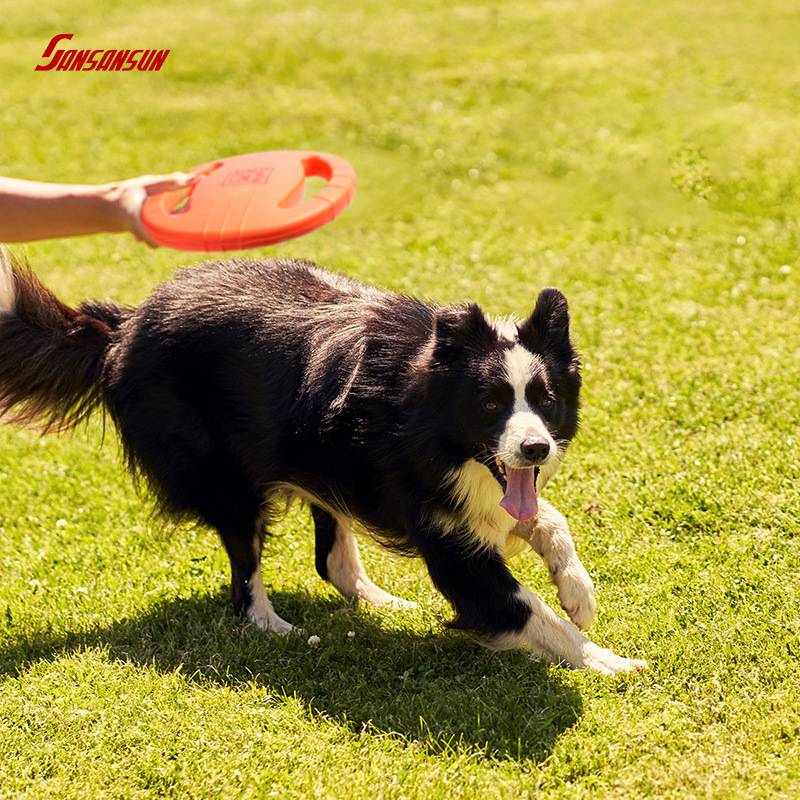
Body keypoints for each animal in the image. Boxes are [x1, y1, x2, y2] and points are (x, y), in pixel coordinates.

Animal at [0, 252, 648, 676]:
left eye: (545, 400)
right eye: (490, 404)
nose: (536, 449)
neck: (427, 414)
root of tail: (124, 323)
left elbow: (546, 518)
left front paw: (579, 594)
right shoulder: (445, 531)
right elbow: (518, 604)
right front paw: (610, 661)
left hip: (321, 460)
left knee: (331, 558)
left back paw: (380, 601)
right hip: (222, 470)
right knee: (245, 570)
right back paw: (274, 626)